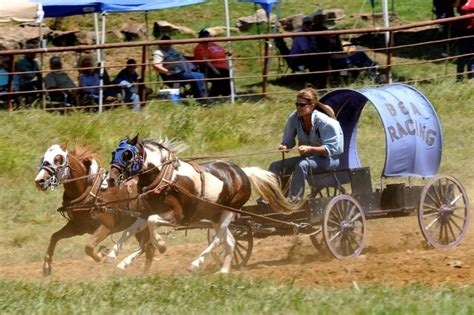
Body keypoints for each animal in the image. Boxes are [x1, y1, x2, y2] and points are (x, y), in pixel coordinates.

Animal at [33, 143, 163, 276]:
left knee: (147, 247)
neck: (90, 193)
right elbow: (54, 237)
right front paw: (47, 266)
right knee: (148, 248)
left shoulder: (106, 226)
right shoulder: (78, 227)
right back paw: (142, 272)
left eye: (58, 159)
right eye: (43, 158)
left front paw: (102, 254)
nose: (39, 181)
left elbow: (89, 247)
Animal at [105, 135, 302, 274]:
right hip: (215, 215)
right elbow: (129, 231)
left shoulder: (175, 216)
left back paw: (196, 263)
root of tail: (243, 172)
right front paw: (114, 256)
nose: (111, 179)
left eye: (128, 155)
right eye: (114, 152)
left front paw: (161, 245)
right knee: (230, 241)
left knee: (218, 239)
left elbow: (153, 226)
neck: (165, 178)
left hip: (229, 211)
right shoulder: (145, 213)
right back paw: (224, 270)